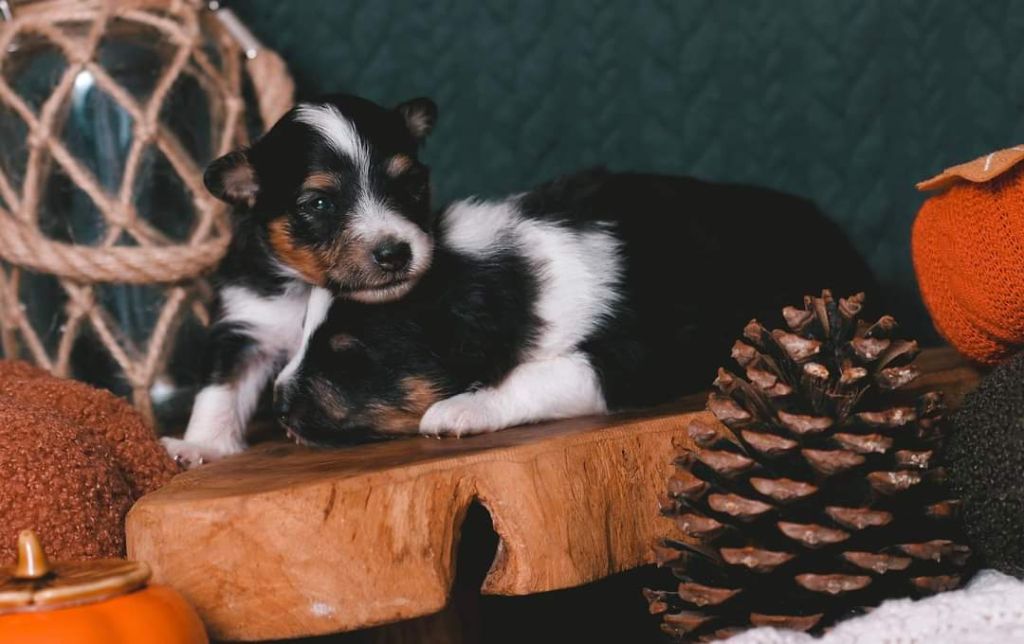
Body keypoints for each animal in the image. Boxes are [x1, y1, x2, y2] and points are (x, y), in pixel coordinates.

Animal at [161, 94, 438, 466]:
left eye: (412, 185)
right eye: (319, 203)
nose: (395, 254)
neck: (308, 287)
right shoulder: (245, 323)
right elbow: (219, 390)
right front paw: (201, 446)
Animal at [276, 170, 876, 442]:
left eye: (347, 355)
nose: (278, 406)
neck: (510, 277)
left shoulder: (627, 357)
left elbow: (537, 375)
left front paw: (459, 410)